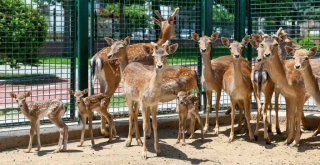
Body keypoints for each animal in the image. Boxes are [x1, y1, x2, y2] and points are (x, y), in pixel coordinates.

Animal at [90, 7, 180, 137]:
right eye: (174, 24)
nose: (176, 33)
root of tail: (96, 58)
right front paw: (147, 132)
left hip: (101, 80)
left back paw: (105, 130)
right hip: (113, 79)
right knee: (105, 101)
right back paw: (108, 131)